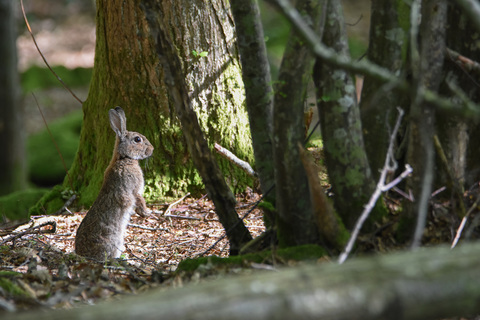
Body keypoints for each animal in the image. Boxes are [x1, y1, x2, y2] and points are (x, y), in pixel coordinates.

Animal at [74, 106, 154, 262]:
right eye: (137, 139)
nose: (152, 150)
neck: (124, 158)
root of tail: (80, 254)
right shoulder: (134, 189)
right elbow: (139, 199)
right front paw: (146, 213)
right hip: (113, 240)